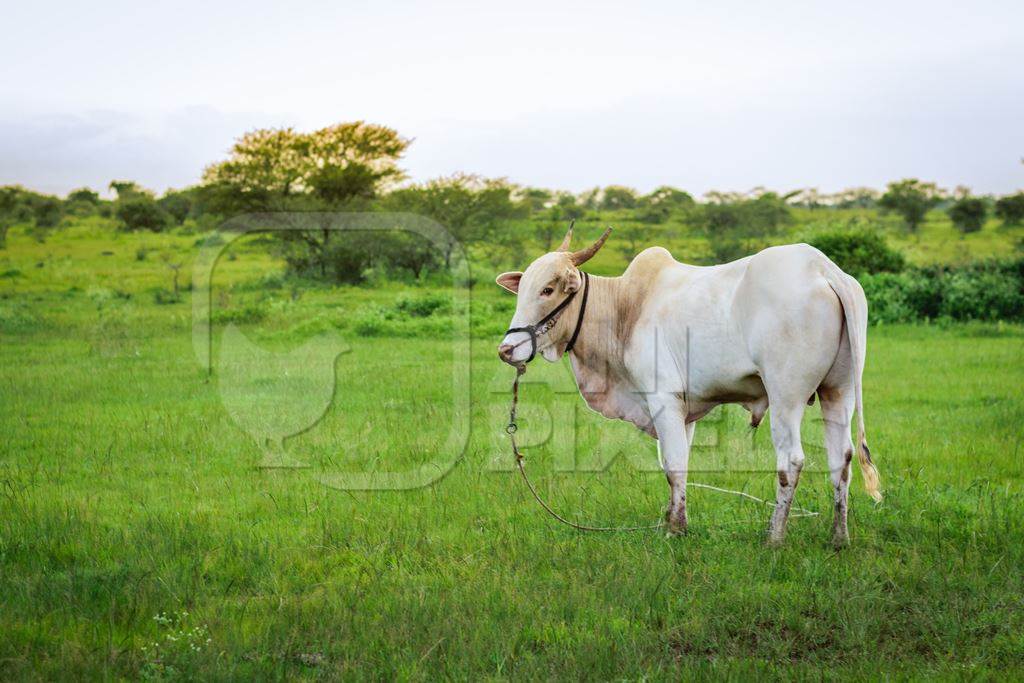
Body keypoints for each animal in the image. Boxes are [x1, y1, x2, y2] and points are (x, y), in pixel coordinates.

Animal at [495, 227, 880, 548]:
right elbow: (676, 463)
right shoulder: (685, 410)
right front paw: (671, 519)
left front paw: (675, 529)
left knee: (791, 461)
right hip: (838, 391)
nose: (506, 350)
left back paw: (774, 537)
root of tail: (823, 268)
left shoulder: (662, 400)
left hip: (787, 396)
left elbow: (674, 465)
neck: (625, 308)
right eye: (523, 290)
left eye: (547, 290)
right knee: (842, 458)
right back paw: (838, 537)